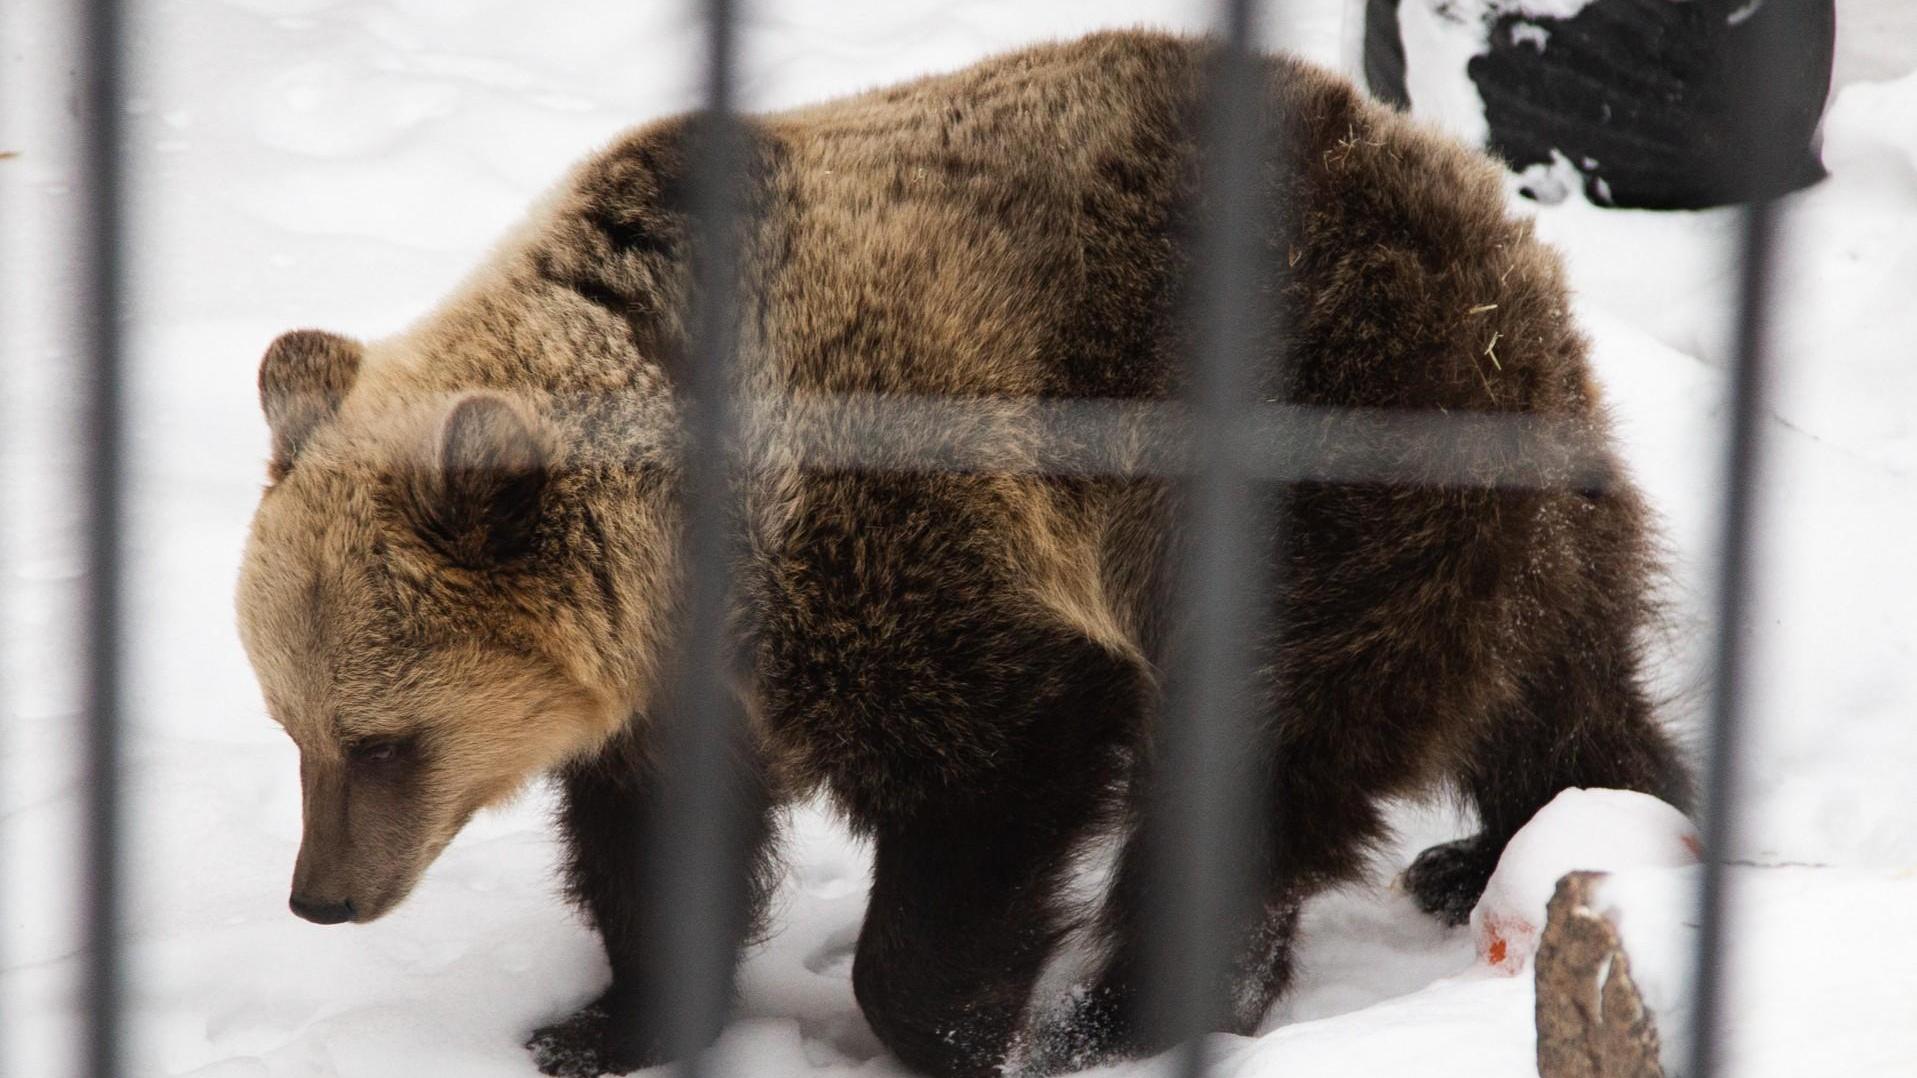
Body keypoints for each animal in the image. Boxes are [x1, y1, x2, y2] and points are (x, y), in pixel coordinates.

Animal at [231, 29, 1686, 1074]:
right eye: (291, 726)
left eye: (381, 739)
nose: (319, 897)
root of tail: (1462, 189)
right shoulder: (683, 681)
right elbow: (657, 843)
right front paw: (604, 1023)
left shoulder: (903, 528)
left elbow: (1005, 756)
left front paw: (958, 1025)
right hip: (1494, 477)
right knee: (1553, 677)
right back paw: (1539, 839)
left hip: (1329, 436)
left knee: (1266, 733)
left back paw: (1131, 1011)